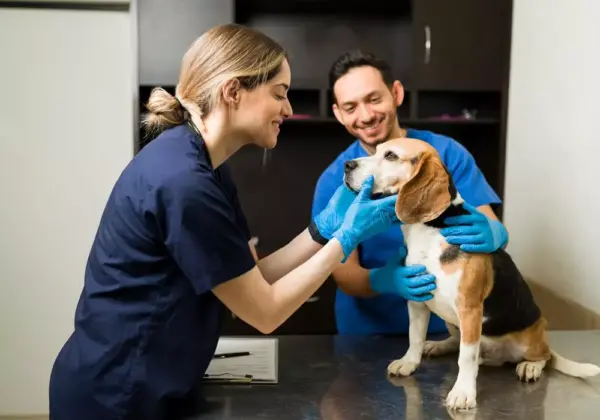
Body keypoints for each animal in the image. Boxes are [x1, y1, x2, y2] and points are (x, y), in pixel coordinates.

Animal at [342, 137, 600, 410]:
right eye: (377, 150)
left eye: (390, 156)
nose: (347, 165)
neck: (430, 231)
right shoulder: (417, 300)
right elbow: (414, 337)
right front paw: (409, 361)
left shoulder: (469, 309)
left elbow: (465, 357)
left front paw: (463, 392)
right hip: (452, 320)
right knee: (458, 342)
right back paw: (438, 345)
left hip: (528, 337)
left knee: (543, 357)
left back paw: (530, 366)